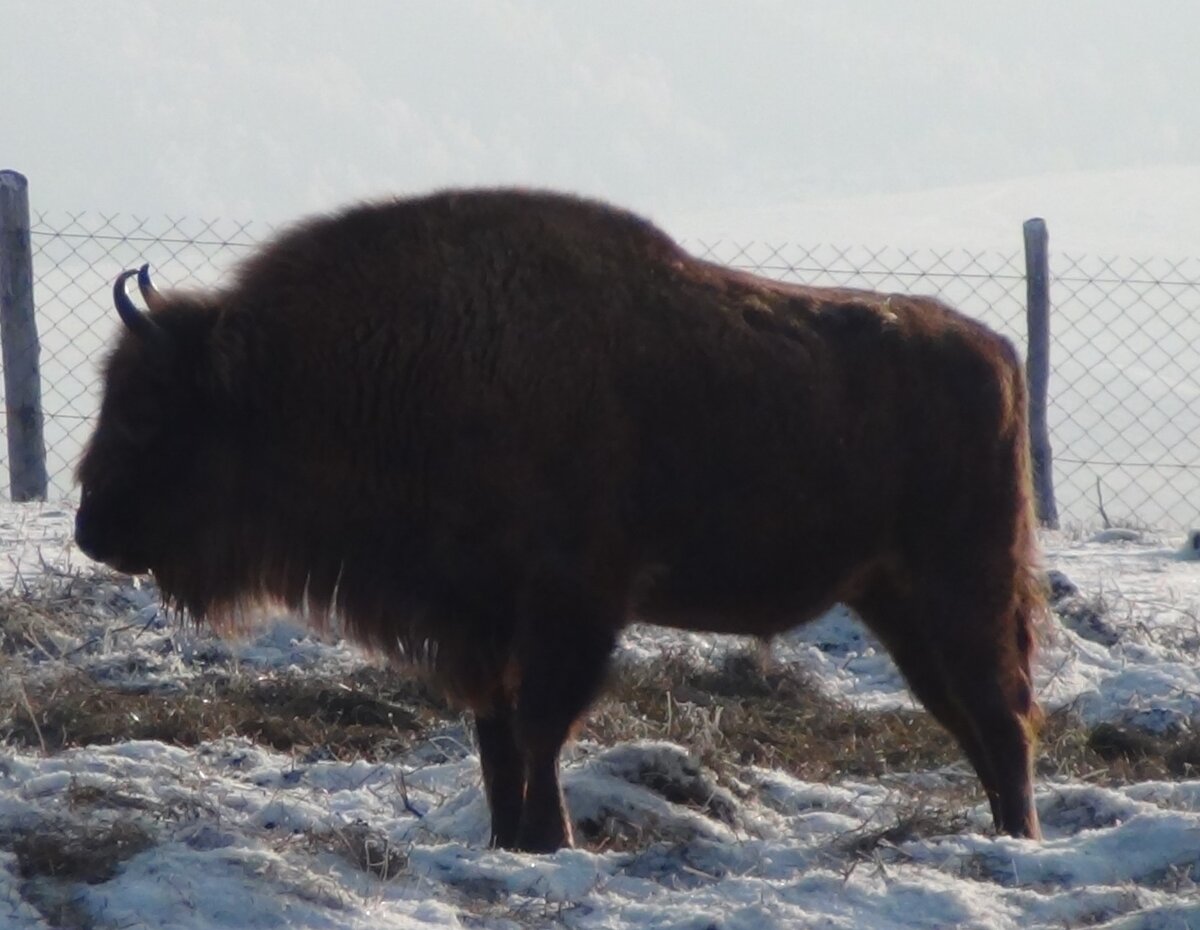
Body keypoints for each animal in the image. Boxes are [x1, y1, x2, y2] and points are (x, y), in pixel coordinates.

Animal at [72, 187, 1041, 849]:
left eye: (148, 409)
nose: (91, 529)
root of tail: (996, 352)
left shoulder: (568, 607)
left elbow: (539, 726)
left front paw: (549, 838)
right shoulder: (479, 623)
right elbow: (496, 734)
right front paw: (512, 839)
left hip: (960, 587)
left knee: (999, 712)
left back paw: (1019, 842)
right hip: (895, 600)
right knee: (970, 715)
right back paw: (1004, 837)